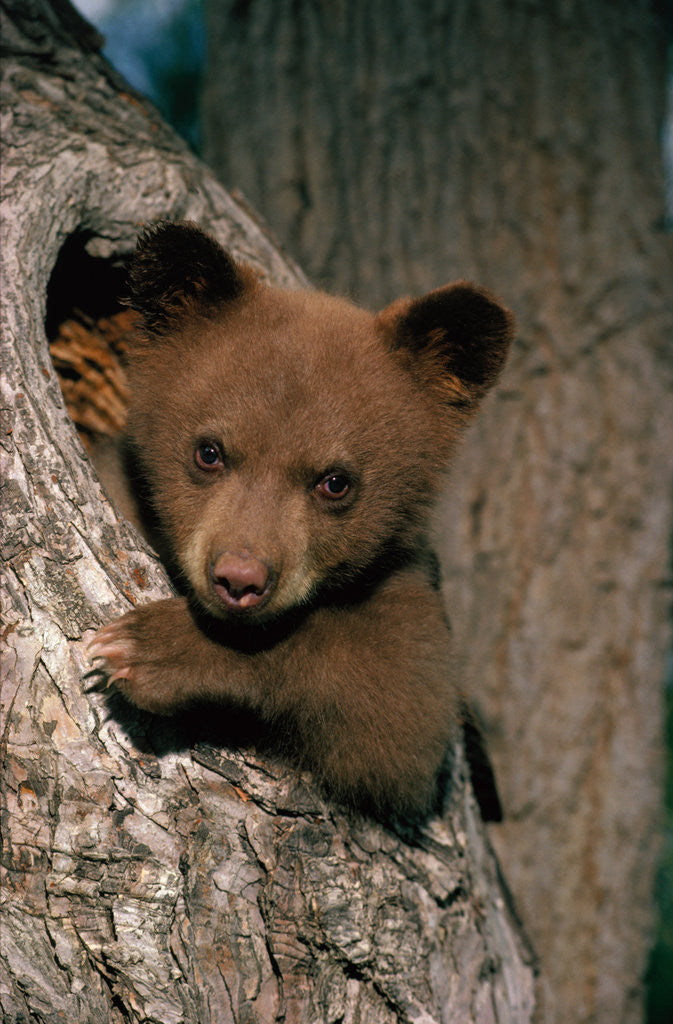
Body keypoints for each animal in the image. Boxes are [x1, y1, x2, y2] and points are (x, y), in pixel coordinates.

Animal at [88, 221, 514, 820]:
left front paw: (148, 649)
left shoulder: (407, 587)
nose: (240, 578)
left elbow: (402, 713)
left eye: (335, 481)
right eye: (208, 451)